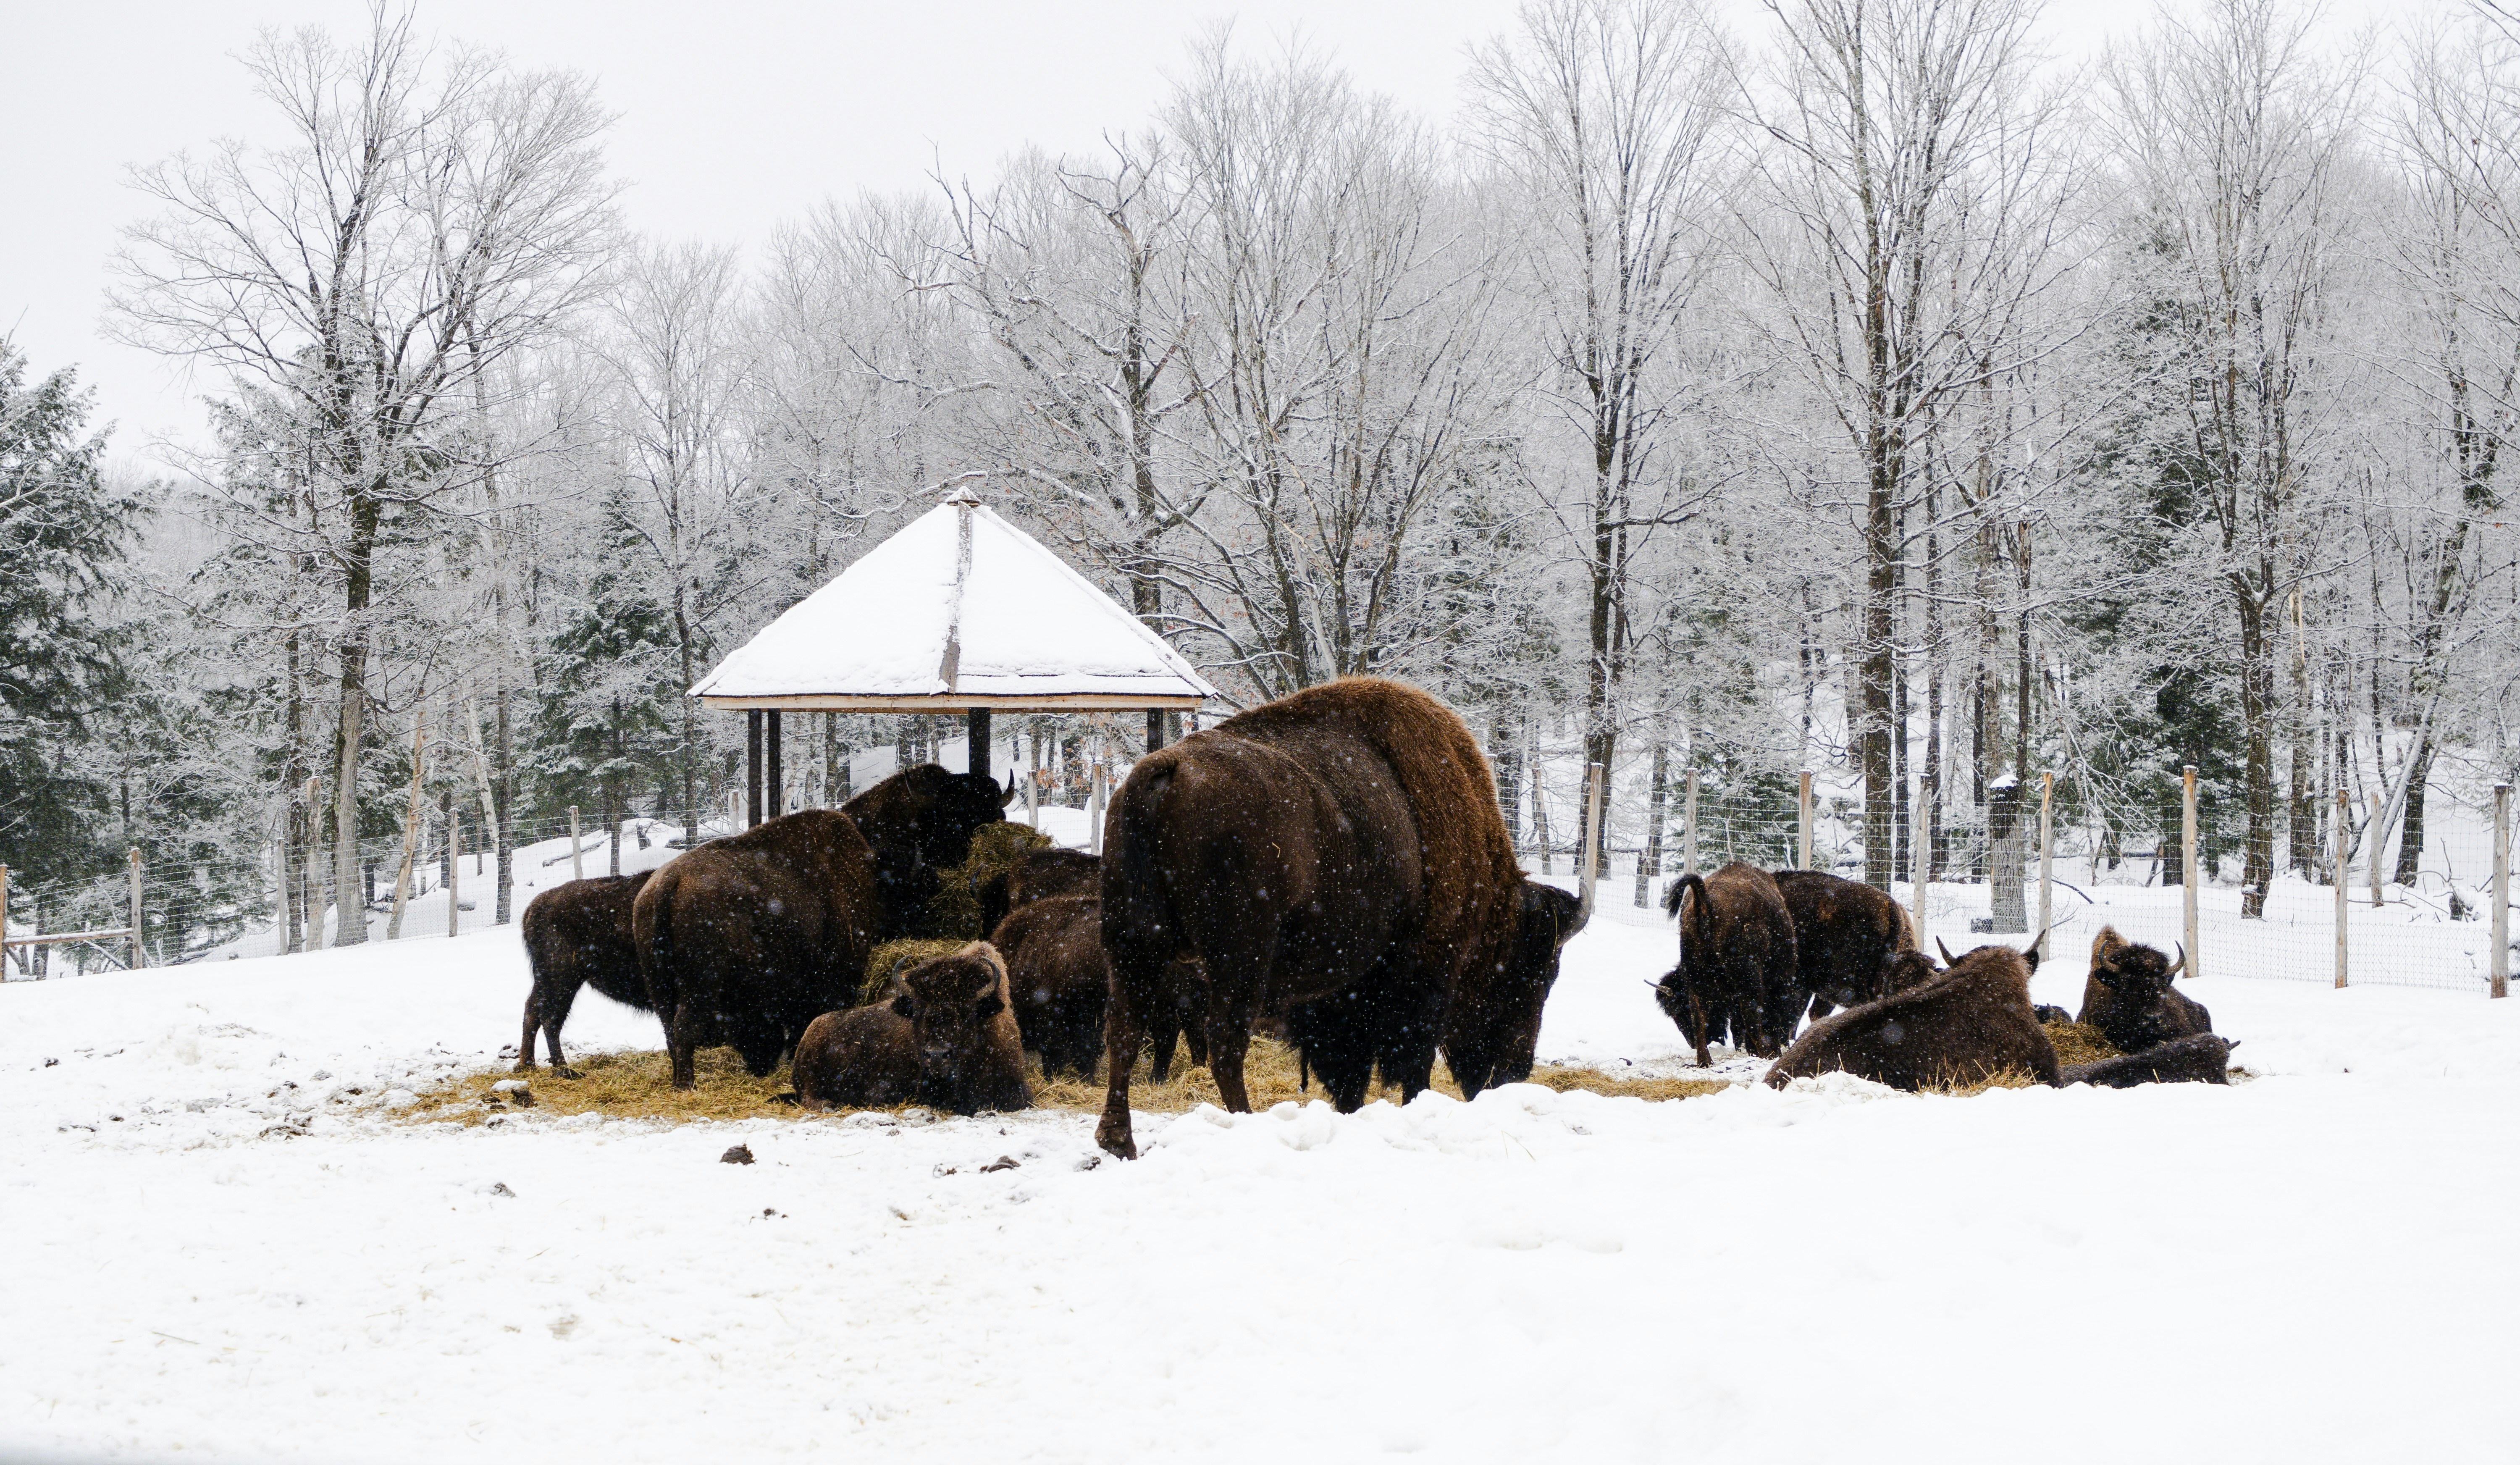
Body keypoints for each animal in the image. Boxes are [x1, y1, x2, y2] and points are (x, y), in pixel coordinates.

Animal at [515, 870, 654, 1075]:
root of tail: (534, 907)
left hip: (549, 979)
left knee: (533, 1009)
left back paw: (527, 1064)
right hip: (562, 978)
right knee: (549, 1017)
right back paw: (564, 1069)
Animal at [631, 810, 879, 1089]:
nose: (759, 1066)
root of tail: (668, 884)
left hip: (659, 987)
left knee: (670, 1030)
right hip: (700, 987)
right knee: (684, 1028)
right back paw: (687, 1084)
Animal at [1096, 677, 1586, 1159]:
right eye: (1534, 975)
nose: (1516, 1070)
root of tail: (1166, 770)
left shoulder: (1338, 992)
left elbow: (1349, 1071)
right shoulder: (1425, 977)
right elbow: (1412, 1063)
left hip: (1133, 942)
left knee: (1124, 1028)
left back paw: (1118, 1141)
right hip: (1238, 958)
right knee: (1225, 1044)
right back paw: (1245, 1124)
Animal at [1657, 863, 1801, 1065]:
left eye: (1678, 1011)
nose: (1690, 1042)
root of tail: (1705, 902)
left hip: (1695, 978)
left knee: (1698, 1015)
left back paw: (1705, 1061)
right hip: (1749, 979)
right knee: (1751, 1015)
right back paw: (1767, 1054)